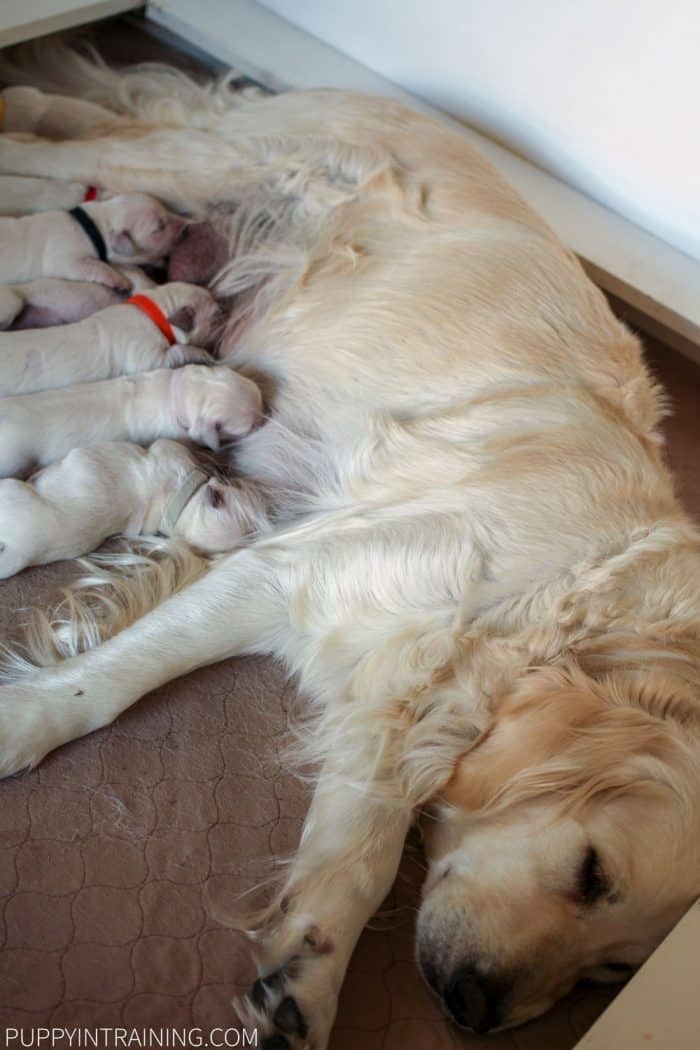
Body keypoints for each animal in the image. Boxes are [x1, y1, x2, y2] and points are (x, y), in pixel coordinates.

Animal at [0, 194, 185, 289]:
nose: (185, 225)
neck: (93, 225)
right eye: (159, 227)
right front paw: (117, 280)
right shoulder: (64, 259)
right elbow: (95, 266)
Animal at [0, 281, 219, 394]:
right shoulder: (146, 357)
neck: (154, 312)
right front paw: (204, 354)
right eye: (215, 316)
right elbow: (177, 351)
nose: (222, 303)